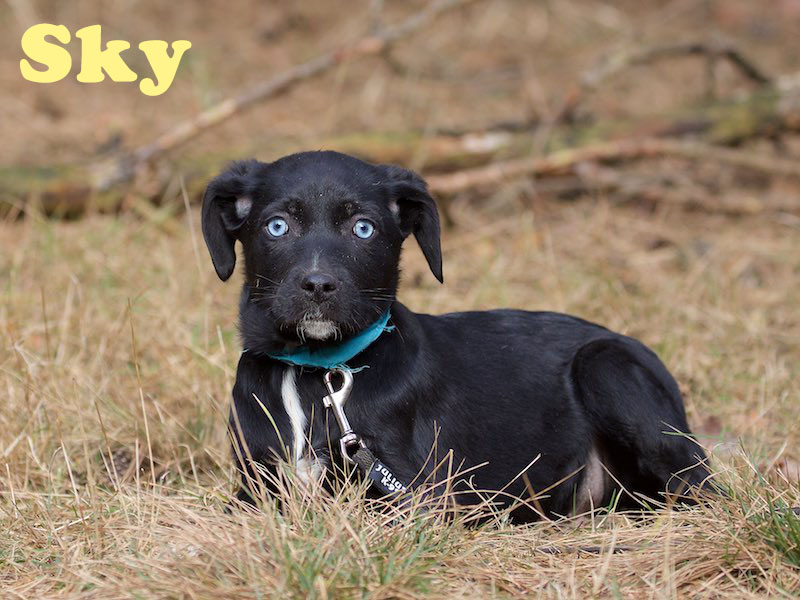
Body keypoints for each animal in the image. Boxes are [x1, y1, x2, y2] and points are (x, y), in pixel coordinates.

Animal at [201, 150, 711, 521]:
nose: (318, 285)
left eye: (363, 228)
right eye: (277, 226)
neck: (314, 369)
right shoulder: (253, 486)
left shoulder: (414, 496)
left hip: (606, 365)